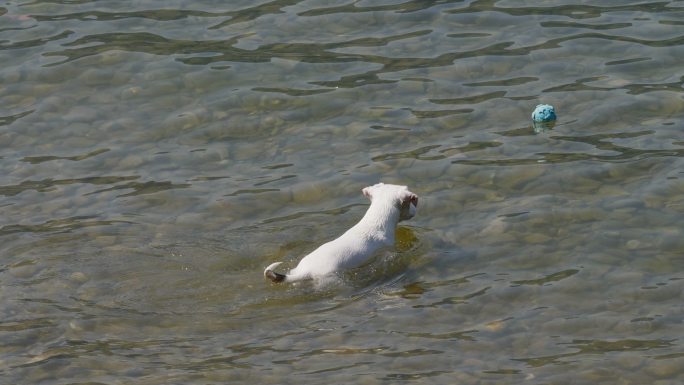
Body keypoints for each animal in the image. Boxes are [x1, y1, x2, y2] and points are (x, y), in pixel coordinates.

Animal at [266, 183, 416, 282]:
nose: (415, 211)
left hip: (297, 269)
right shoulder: (388, 248)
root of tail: (305, 271)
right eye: (411, 202)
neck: (375, 222)